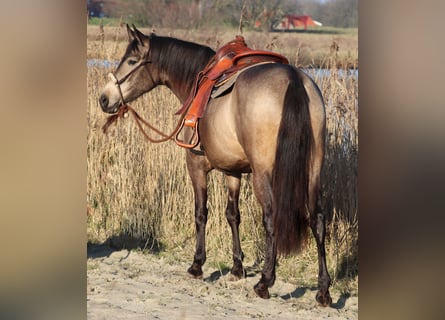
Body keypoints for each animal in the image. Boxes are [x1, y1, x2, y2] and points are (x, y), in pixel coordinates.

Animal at [99, 25, 330, 304]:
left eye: (132, 61)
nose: (104, 99)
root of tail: (293, 79)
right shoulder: (234, 172)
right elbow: (233, 215)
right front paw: (237, 268)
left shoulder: (196, 166)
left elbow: (201, 213)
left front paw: (197, 265)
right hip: (314, 170)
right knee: (318, 221)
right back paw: (323, 290)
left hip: (263, 174)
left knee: (271, 218)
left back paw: (265, 281)